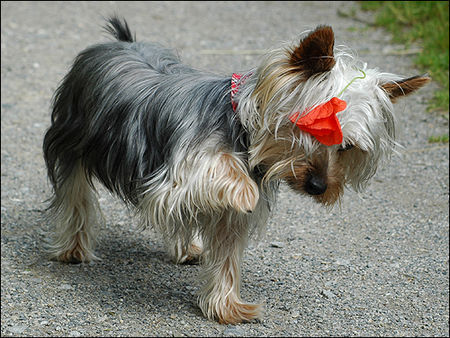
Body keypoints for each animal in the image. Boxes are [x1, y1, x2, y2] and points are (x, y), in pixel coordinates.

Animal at [42, 17, 428, 324]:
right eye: (307, 130)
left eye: (346, 147)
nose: (320, 187)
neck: (239, 124)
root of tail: (119, 42)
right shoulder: (174, 176)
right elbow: (213, 179)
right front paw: (245, 190)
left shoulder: (227, 217)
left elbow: (227, 257)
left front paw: (226, 307)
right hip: (71, 137)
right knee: (75, 196)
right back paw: (74, 249)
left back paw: (186, 247)